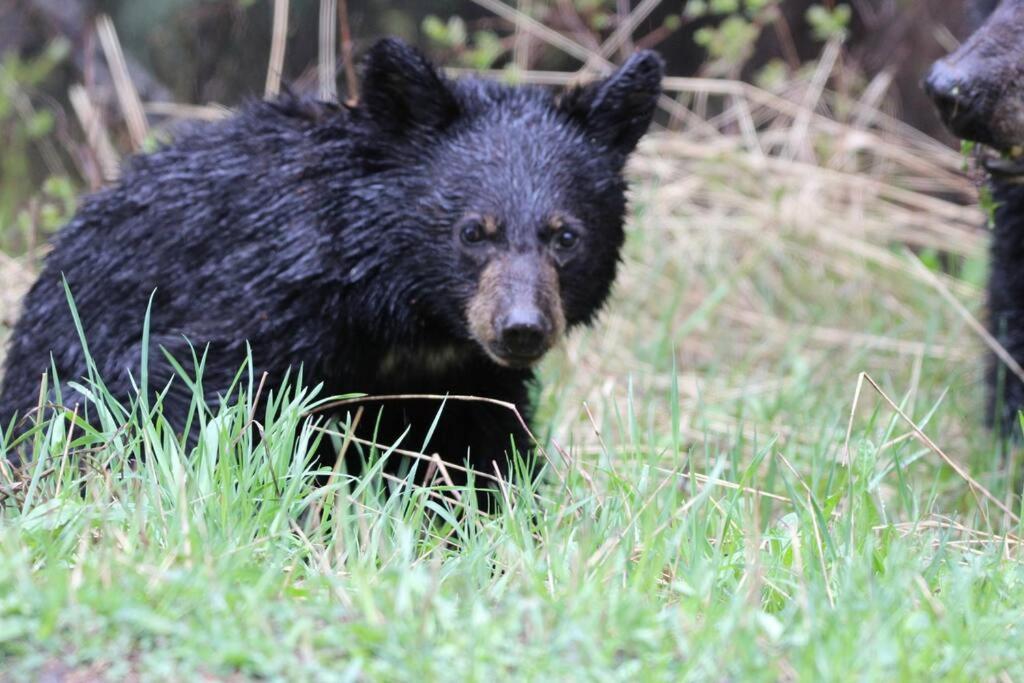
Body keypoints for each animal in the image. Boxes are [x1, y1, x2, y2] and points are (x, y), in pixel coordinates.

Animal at [2, 38, 663, 491]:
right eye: (474, 231)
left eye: (566, 236)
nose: (522, 328)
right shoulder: (257, 299)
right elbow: (189, 394)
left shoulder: (467, 377)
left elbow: (479, 453)